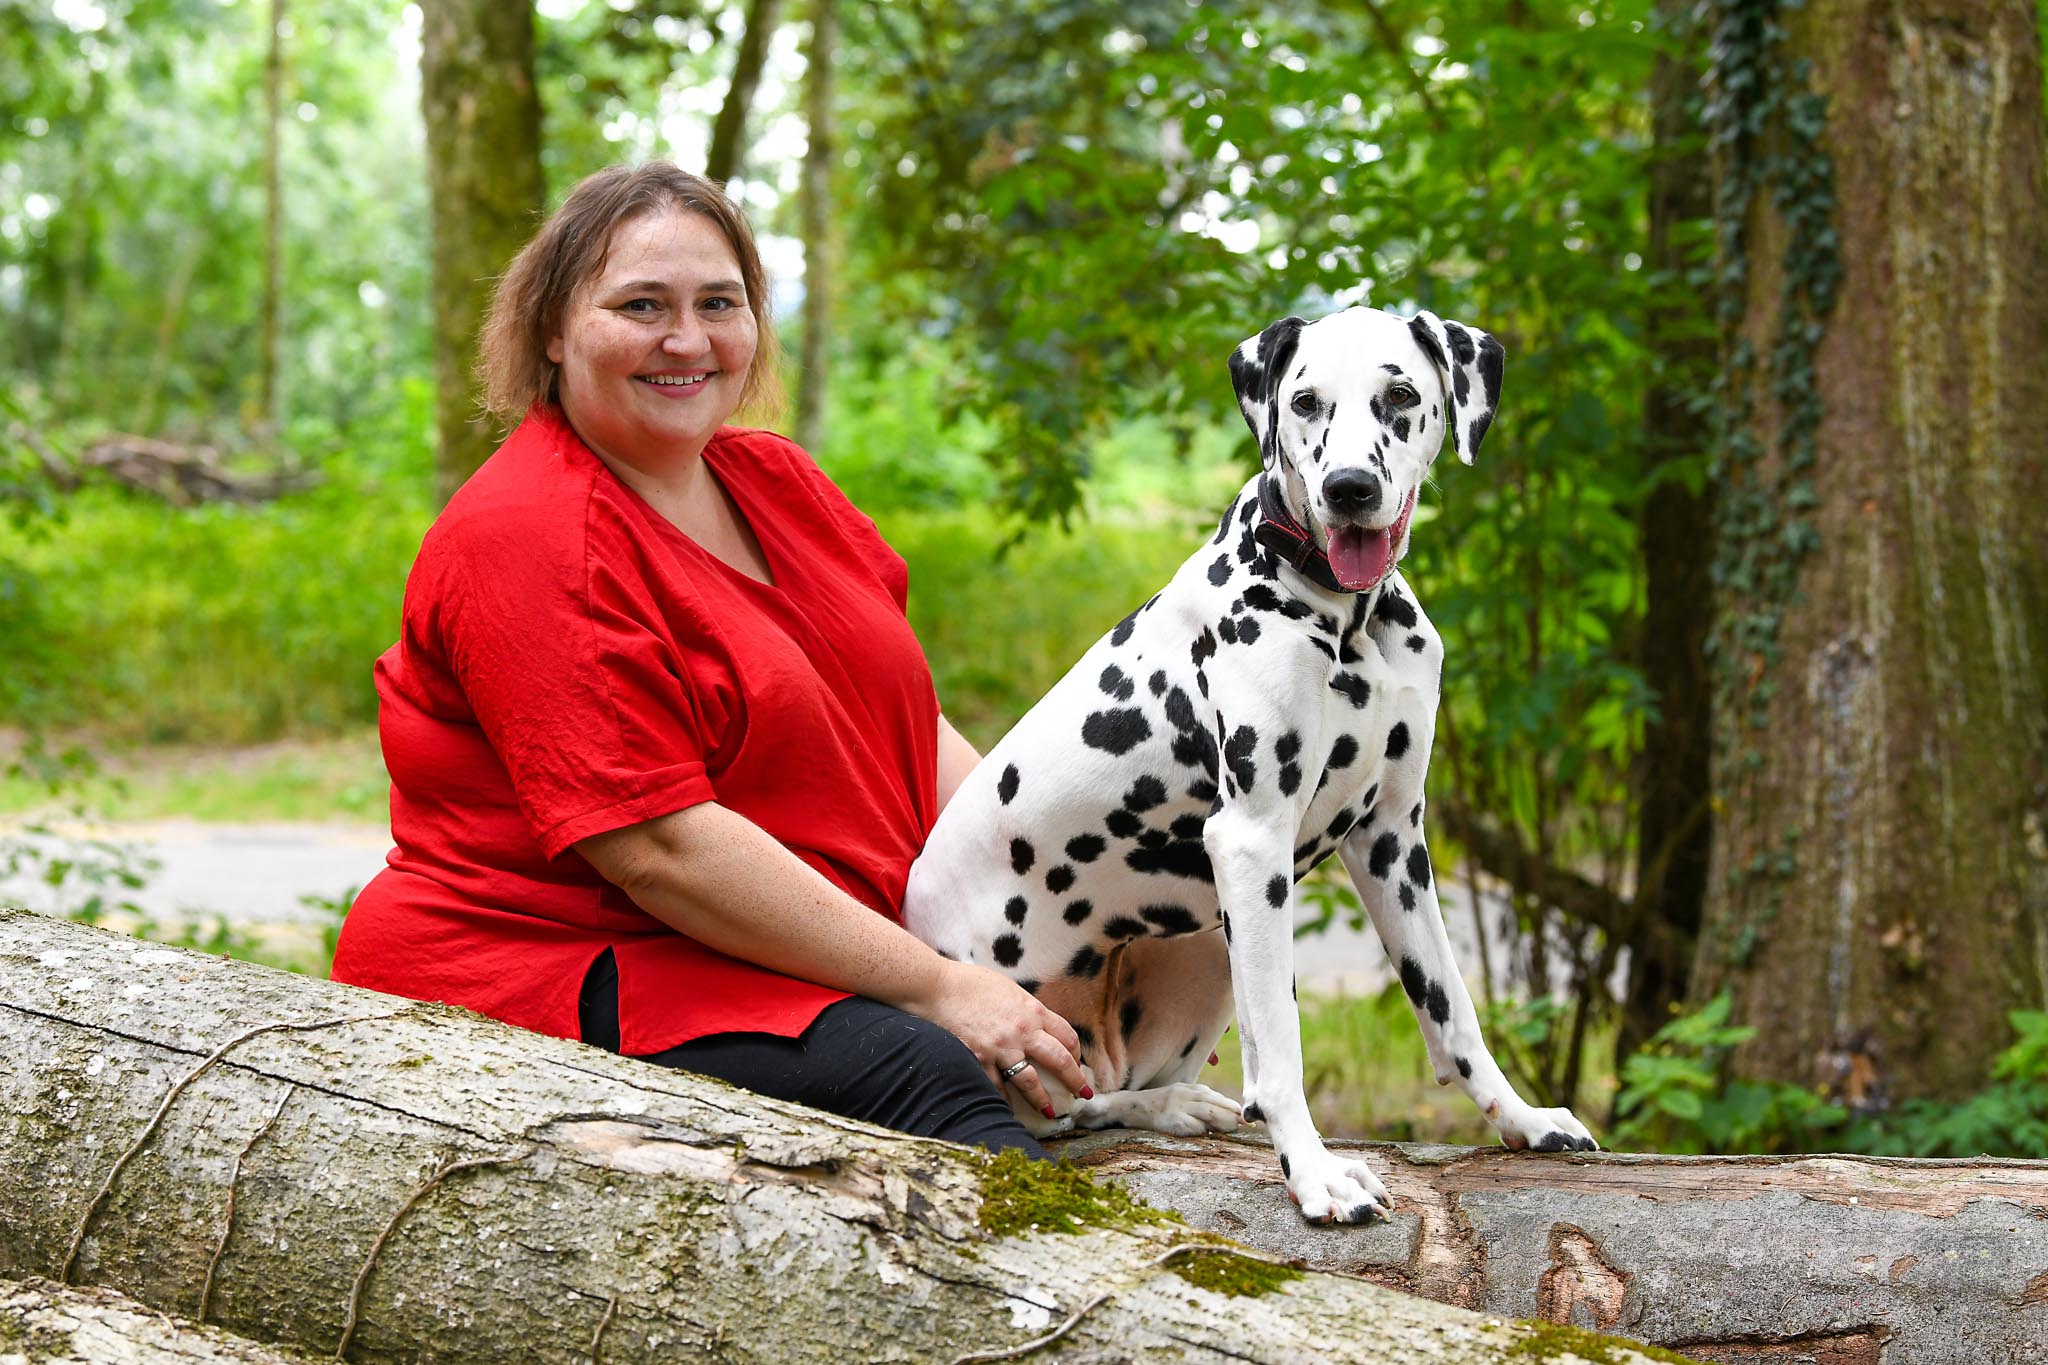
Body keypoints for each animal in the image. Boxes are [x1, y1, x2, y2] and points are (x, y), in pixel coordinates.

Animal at [909, 304, 1597, 1219]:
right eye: (1304, 401)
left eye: (1400, 395)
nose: (1350, 487)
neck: (1349, 619)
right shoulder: (1250, 841)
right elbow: (1281, 1054)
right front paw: (1314, 1172)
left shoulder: (1393, 841)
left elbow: (1452, 1009)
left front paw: (1522, 1118)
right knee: (1064, 1112)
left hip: (1205, 944)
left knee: (1107, 1089)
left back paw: (1173, 1101)